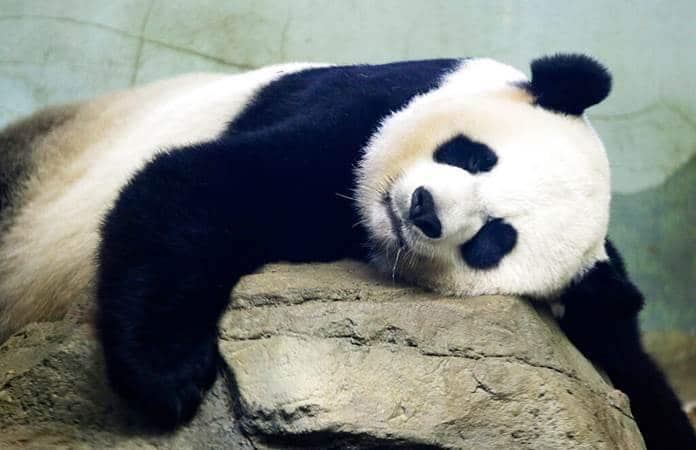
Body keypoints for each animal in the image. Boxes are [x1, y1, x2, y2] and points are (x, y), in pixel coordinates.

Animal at [0, 54, 693, 448]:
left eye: (494, 239)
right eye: (473, 156)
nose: (423, 209)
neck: (365, 225)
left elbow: (626, 355)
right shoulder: (367, 111)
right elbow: (199, 184)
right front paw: (168, 377)